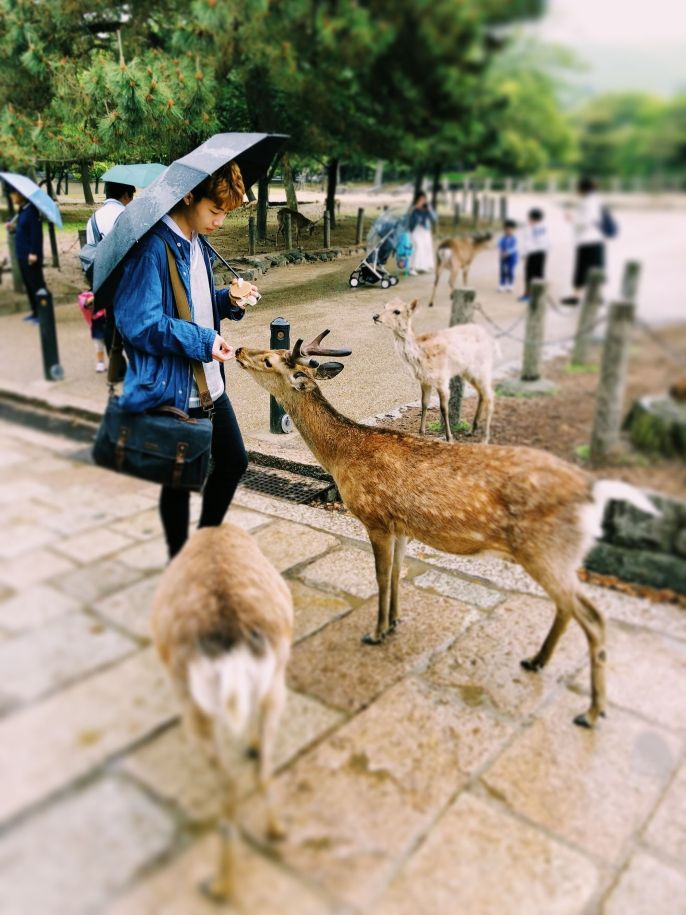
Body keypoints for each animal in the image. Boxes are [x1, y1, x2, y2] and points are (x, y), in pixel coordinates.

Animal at [153, 524, 292, 900]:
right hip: (276, 685)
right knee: (263, 771)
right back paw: (276, 830)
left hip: (195, 707)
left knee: (229, 789)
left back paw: (219, 887)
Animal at [238, 330, 660, 728]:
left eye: (270, 359)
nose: (240, 350)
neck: (343, 456)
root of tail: (594, 491)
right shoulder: (401, 525)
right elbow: (397, 574)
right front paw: (394, 623)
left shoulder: (375, 518)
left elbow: (380, 576)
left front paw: (375, 632)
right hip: (556, 555)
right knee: (570, 608)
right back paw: (536, 662)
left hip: (547, 551)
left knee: (594, 617)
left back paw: (591, 712)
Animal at [374, 300, 498, 444]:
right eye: (384, 306)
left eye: (397, 311)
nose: (375, 316)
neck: (421, 357)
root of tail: (491, 339)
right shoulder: (424, 380)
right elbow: (424, 403)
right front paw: (421, 432)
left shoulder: (442, 378)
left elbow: (444, 408)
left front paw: (449, 438)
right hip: (468, 371)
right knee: (482, 394)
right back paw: (471, 430)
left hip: (482, 366)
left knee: (490, 395)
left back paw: (485, 438)